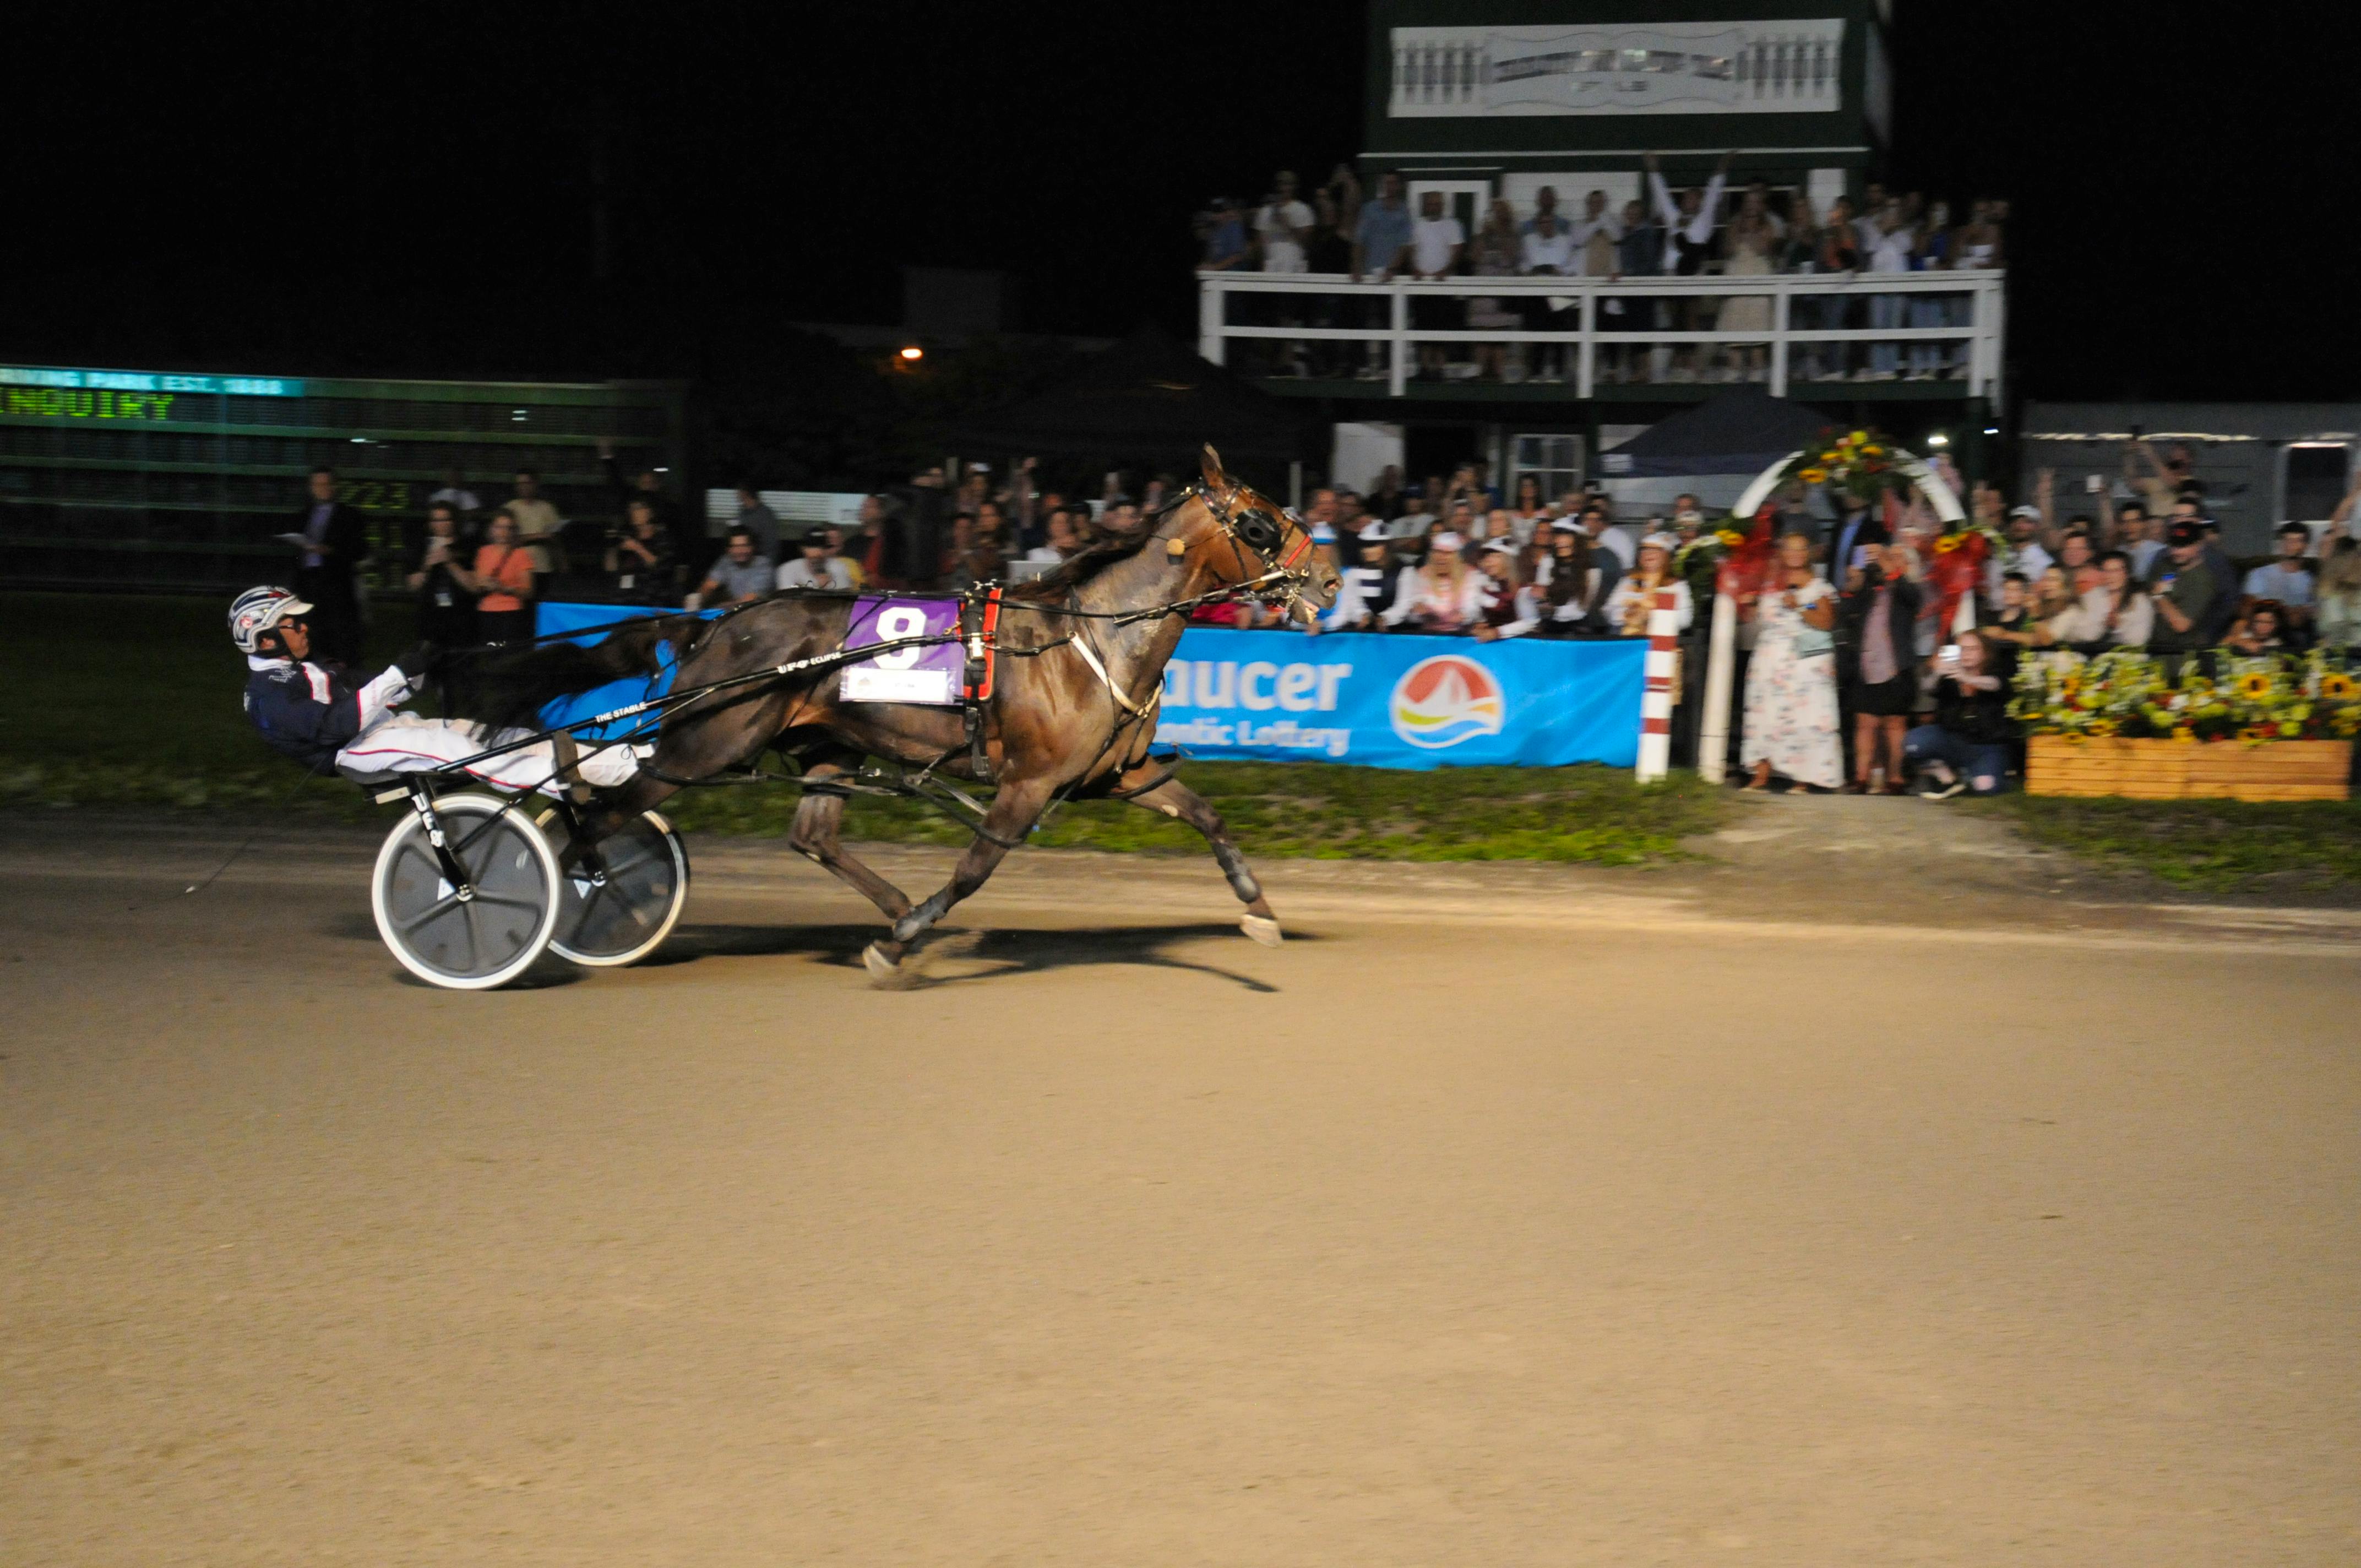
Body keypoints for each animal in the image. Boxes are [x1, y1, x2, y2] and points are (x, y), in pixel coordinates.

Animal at [458, 444, 1341, 982]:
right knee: (603, 813)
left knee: (810, 833)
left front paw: (1260, 910)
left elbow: (1206, 814)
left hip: (826, 746)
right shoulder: (1027, 784)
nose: (1331, 579)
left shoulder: (1112, 776)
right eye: (1259, 522)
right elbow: (976, 868)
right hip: (705, 745)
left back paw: (891, 912)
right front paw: (906, 939)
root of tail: (712, 623)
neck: (1090, 637)